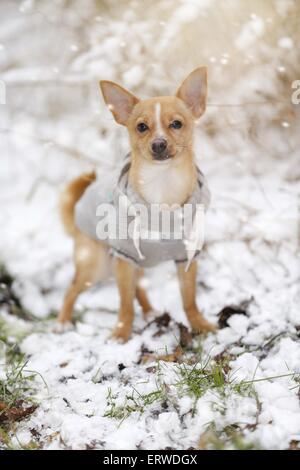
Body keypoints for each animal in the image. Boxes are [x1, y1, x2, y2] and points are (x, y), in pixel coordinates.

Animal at [58, 68, 216, 340]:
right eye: (142, 127)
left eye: (177, 124)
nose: (159, 143)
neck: (163, 187)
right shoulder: (124, 257)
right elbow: (124, 303)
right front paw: (121, 335)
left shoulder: (187, 259)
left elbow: (189, 299)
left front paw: (200, 325)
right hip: (97, 266)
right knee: (73, 289)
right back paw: (62, 323)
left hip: (131, 265)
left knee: (138, 287)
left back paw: (151, 312)